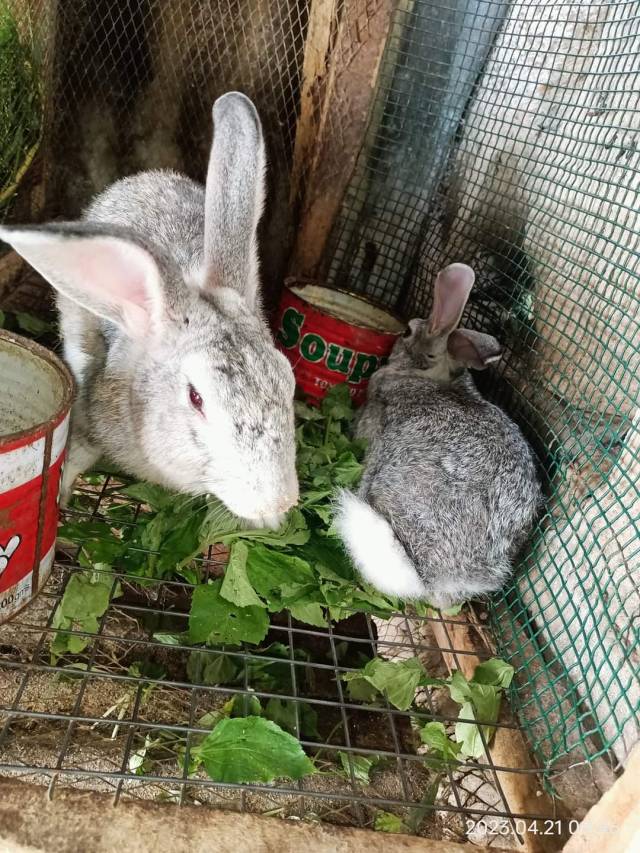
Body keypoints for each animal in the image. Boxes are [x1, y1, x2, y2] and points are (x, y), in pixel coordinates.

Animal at [0, 93, 299, 529]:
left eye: (288, 381)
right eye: (196, 398)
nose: (277, 502)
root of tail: (147, 178)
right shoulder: (93, 415)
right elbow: (77, 456)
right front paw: (62, 501)